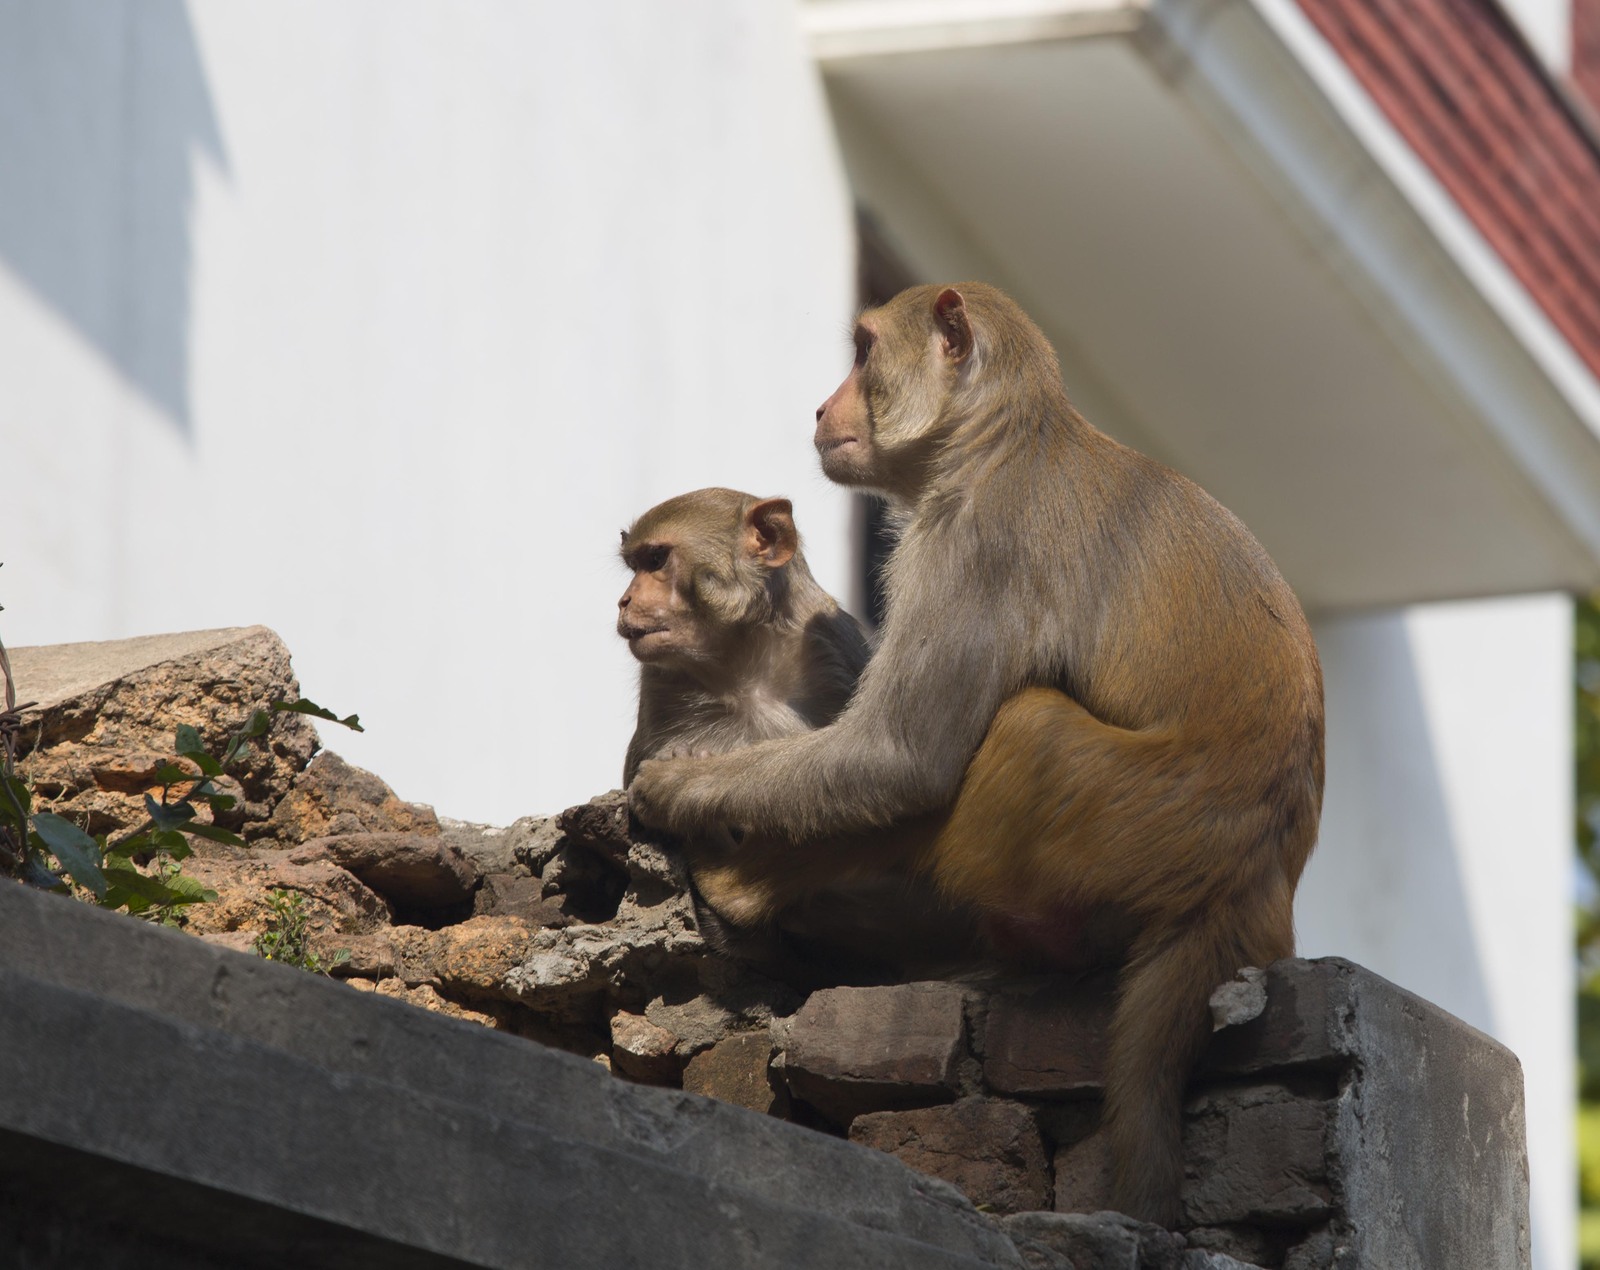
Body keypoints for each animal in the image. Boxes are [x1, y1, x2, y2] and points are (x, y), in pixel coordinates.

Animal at [630, 281, 1331, 1222]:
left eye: (862, 351)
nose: (822, 406)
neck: (1000, 440)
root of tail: (1249, 884)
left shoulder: (974, 546)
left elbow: (903, 757)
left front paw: (676, 790)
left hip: (1120, 822)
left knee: (1014, 729)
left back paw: (751, 887)